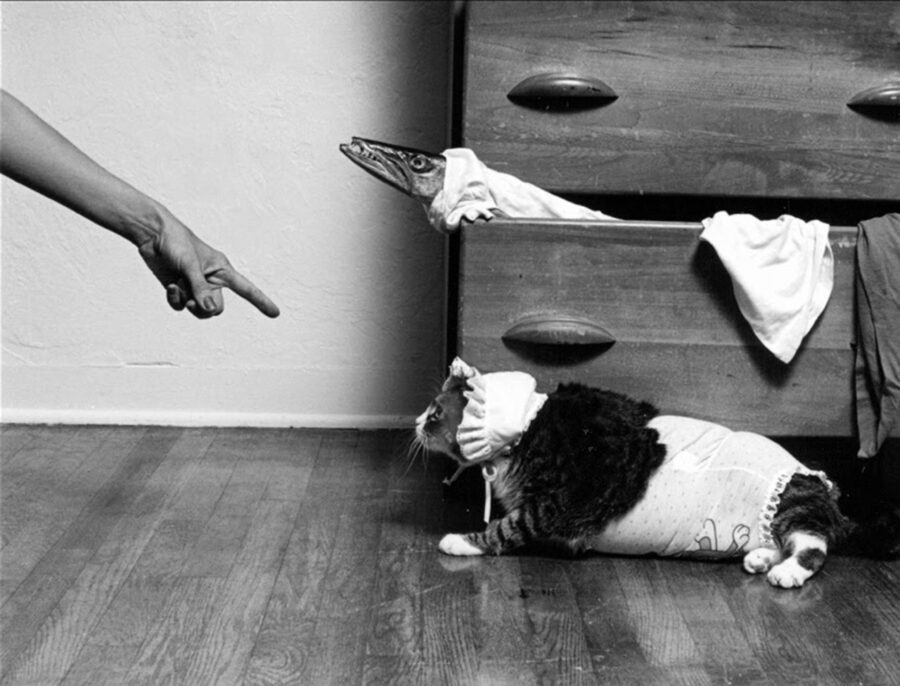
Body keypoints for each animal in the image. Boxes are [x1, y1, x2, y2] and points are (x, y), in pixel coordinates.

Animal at [414, 358, 900, 588]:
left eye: (435, 412)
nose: (416, 421)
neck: (525, 430)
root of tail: (829, 498)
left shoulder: (571, 496)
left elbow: (510, 524)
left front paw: (462, 540)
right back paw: (762, 558)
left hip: (792, 504)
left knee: (816, 544)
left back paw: (787, 572)